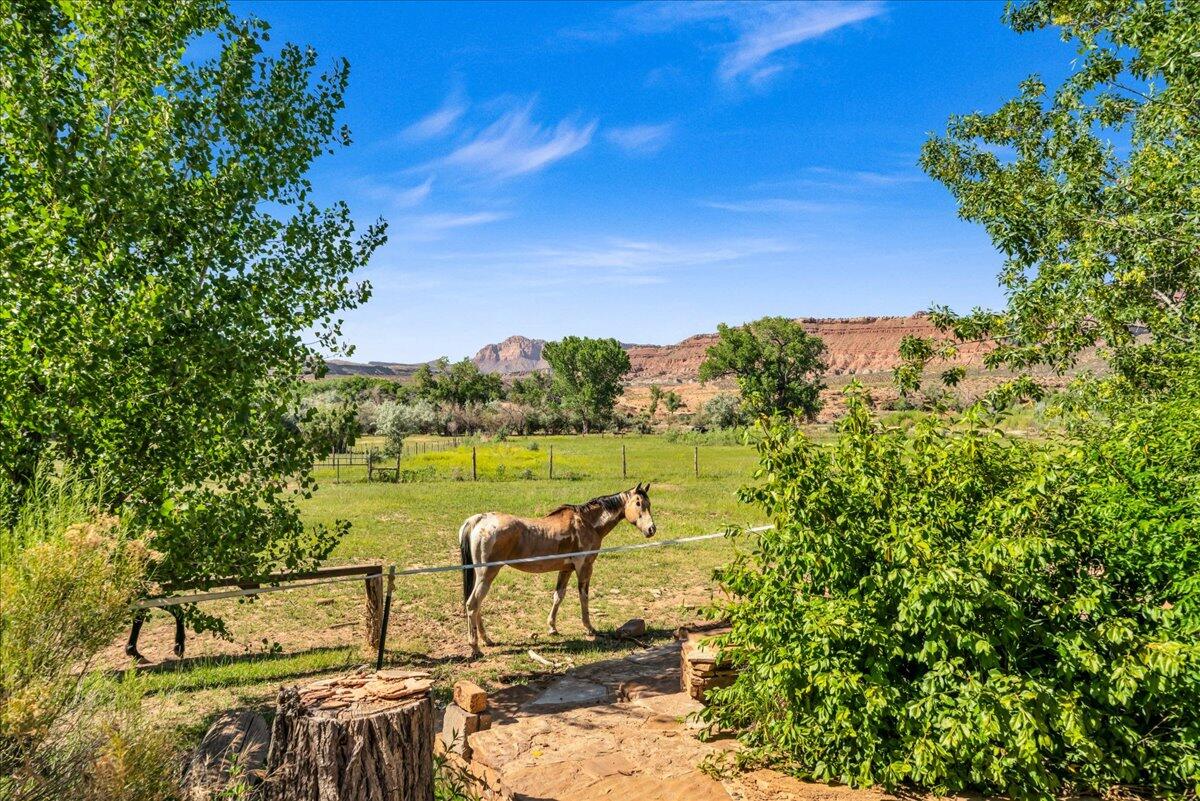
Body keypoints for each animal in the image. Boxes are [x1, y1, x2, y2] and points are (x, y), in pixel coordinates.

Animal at [460, 484, 667, 652]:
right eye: (639, 503)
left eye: (648, 504)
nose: (651, 529)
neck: (588, 522)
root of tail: (479, 520)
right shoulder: (584, 567)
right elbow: (584, 596)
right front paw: (589, 627)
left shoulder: (566, 569)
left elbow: (558, 596)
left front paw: (552, 627)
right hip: (487, 575)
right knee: (473, 605)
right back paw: (475, 646)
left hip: (481, 576)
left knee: (476, 606)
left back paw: (487, 640)